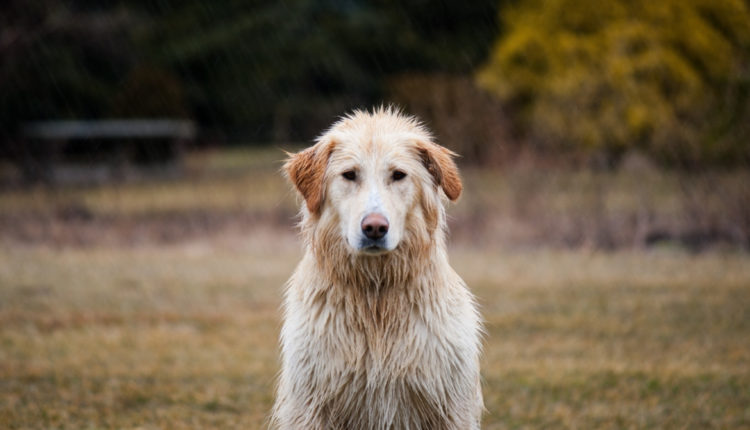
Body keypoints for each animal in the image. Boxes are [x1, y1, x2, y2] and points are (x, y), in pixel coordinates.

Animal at [274, 108, 484, 430]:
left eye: (398, 175)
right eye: (349, 174)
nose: (374, 227)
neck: (376, 297)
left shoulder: (451, 406)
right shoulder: (309, 406)